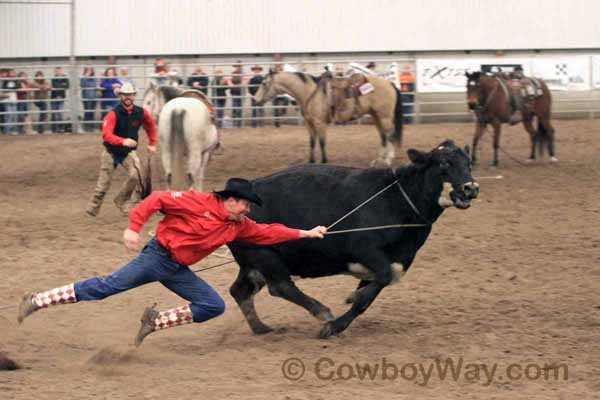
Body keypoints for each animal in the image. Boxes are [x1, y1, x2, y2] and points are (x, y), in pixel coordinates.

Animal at [253, 70, 404, 166]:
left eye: (264, 83)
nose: (255, 99)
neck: (309, 92)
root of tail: (390, 84)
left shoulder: (320, 123)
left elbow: (322, 142)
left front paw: (324, 161)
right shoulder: (309, 123)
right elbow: (312, 142)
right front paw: (311, 161)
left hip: (384, 116)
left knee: (389, 135)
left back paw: (388, 160)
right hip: (376, 116)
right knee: (383, 137)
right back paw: (379, 160)